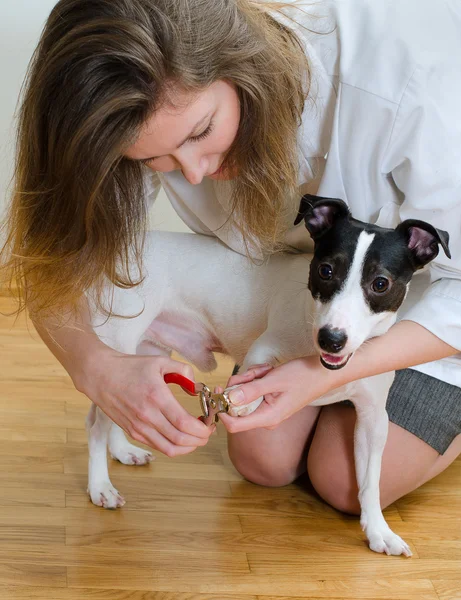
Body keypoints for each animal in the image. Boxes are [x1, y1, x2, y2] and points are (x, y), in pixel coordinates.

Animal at [86, 196, 450, 556]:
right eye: (326, 270)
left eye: (380, 283)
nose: (331, 339)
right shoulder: (264, 349)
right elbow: (256, 377)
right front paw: (246, 402)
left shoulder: (373, 419)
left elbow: (371, 481)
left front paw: (378, 530)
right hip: (122, 347)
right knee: (97, 424)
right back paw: (100, 486)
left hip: (144, 360)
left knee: (119, 409)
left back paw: (122, 451)